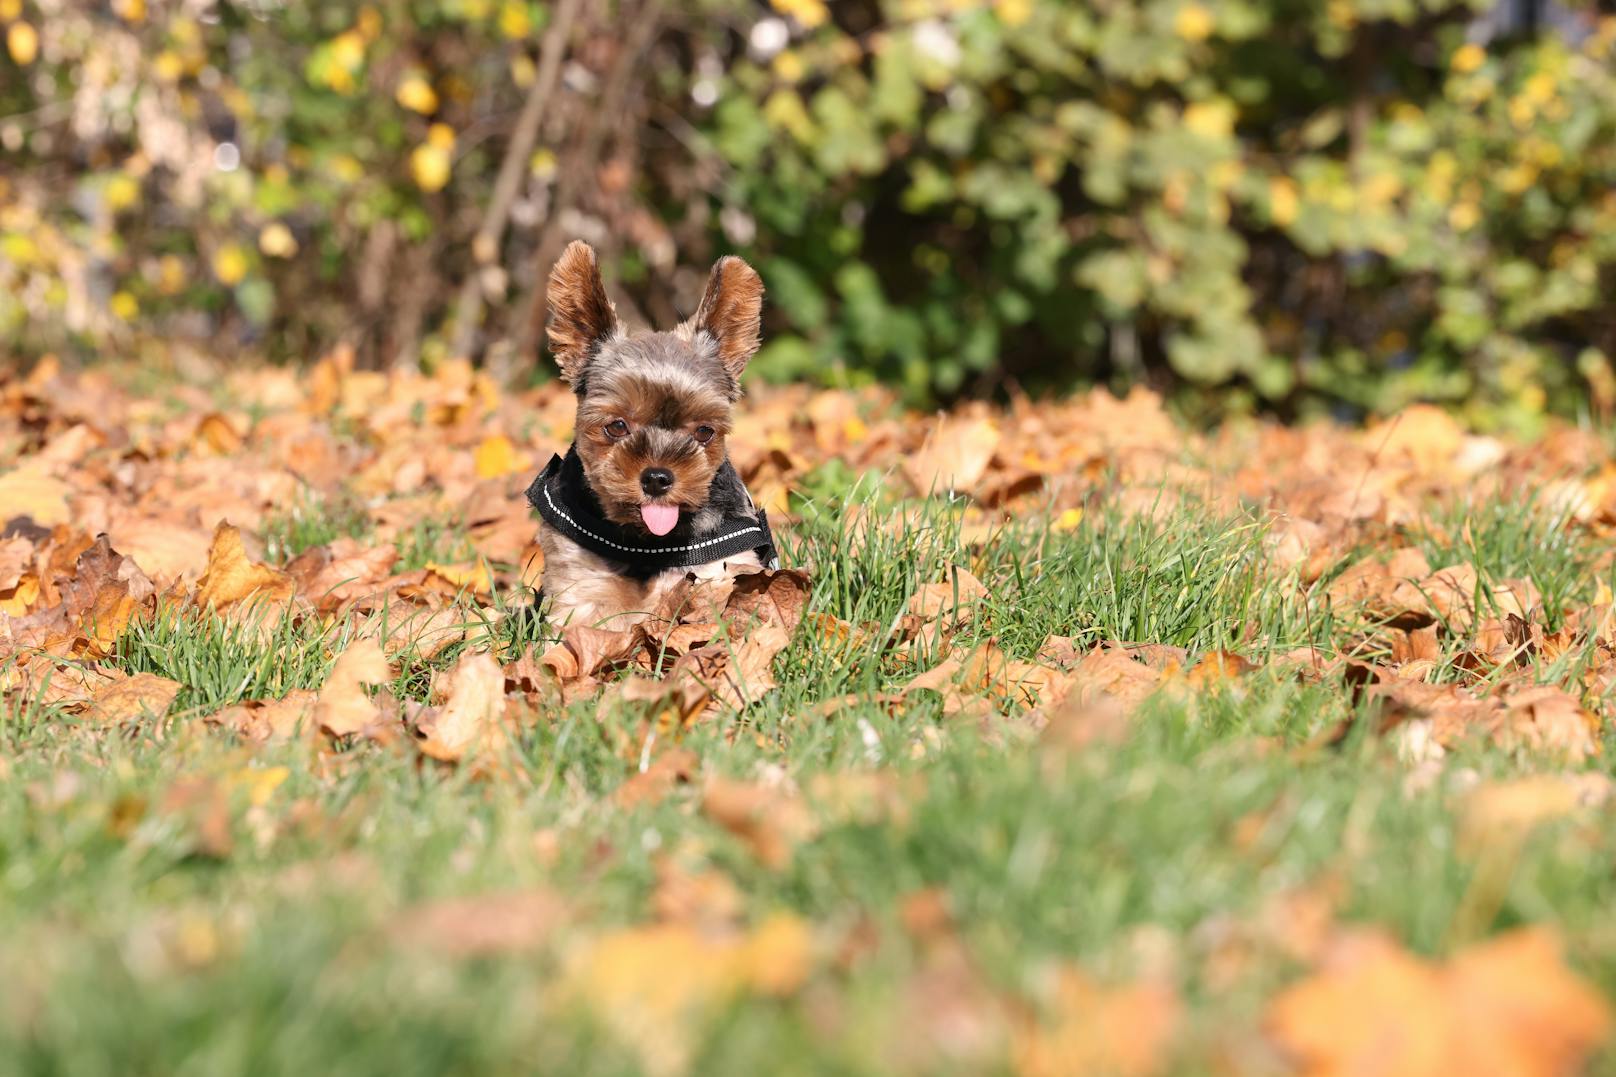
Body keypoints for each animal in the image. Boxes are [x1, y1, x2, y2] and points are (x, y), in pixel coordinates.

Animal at [526, 239, 778, 624]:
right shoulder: (580, 582)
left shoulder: (719, 570)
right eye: (616, 426)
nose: (658, 478)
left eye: (705, 432)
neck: (647, 542)